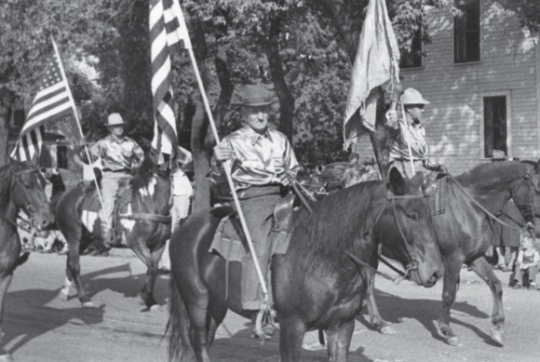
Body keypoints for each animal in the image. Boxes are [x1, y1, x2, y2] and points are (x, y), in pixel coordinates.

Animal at [56, 151, 171, 310]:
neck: (148, 204)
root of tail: (66, 195)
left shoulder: (159, 244)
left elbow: (152, 269)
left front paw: (150, 300)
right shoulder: (136, 243)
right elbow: (152, 268)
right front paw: (145, 297)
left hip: (85, 239)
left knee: (69, 262)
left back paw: (64, 293)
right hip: (73, 236)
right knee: (75, 266)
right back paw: (84, 299)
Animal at [168, 170, 442, 362]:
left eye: (430, 213)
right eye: (410, 214)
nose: (436, 271)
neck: (325, 255)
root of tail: (184, 224)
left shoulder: (341, 326)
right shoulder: (292, 326)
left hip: (216, 305)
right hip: (196, 301)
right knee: (200, 345)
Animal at [362, 160, 540, 346]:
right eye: (537, 189)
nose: (536, 228)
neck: (469, 206)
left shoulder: (474, 257)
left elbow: (496, 285)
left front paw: (497, 329)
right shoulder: (453, 259)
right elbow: (448, 294)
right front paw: (447, 331)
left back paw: (378, 322)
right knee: (368, 285)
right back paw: (379, 322)